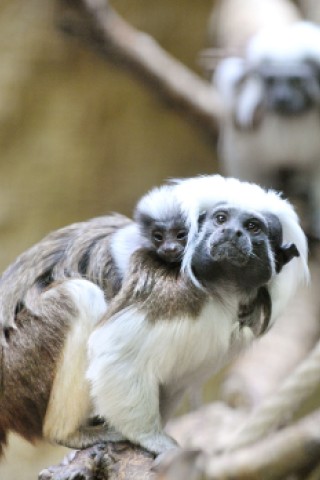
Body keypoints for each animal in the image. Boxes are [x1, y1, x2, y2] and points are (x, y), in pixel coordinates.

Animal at [0, 175, 308, 458]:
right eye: (221, 219)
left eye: (253, 227)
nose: (231, 233)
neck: (223, 291)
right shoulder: (168, 294)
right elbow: (117, 352)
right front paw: (151, 438)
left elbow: (173, 379)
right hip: (20, 367)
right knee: (80, 294)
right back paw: (68, 433)